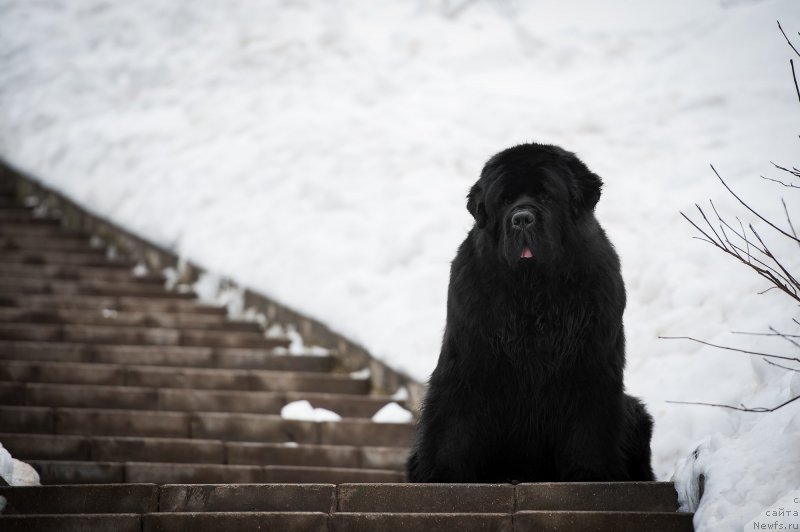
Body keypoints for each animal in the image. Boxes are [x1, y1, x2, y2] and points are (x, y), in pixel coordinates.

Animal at [406, 141, 656, 482]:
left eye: (546, 196)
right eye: (504, 200)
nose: (522, 219)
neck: (533, 292)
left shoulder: (591, 361)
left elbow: (589, 423)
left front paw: (589, 473)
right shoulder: (468, 356)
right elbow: (453, 417)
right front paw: (441, 474)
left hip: (635, 412)